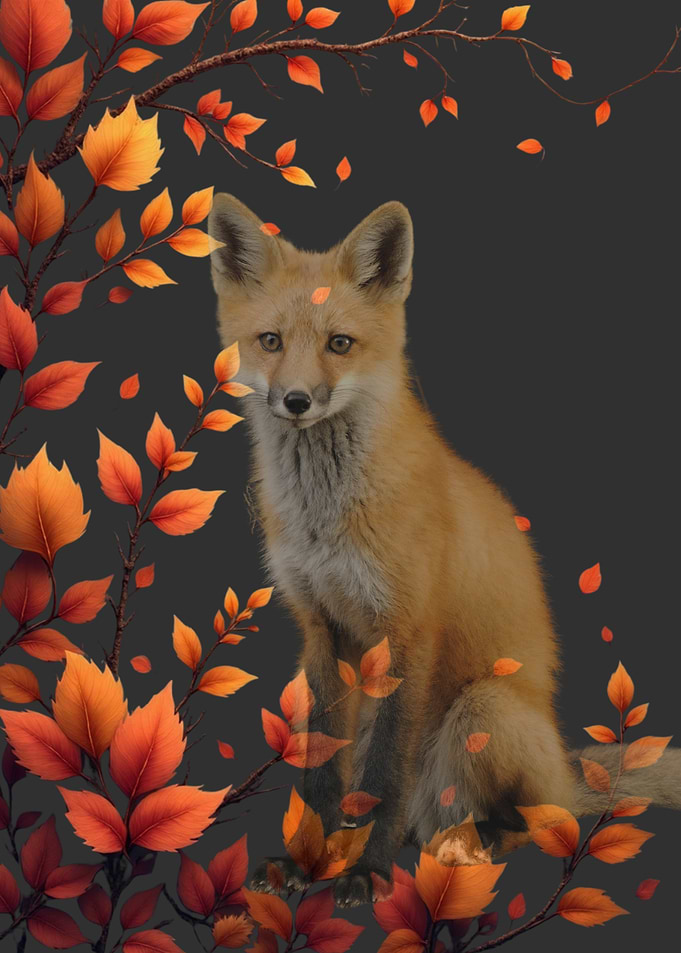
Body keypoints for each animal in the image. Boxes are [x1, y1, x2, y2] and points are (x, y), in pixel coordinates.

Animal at [207, 195, 681, 907]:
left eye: (339, 344)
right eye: (271, 341)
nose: (295, 401)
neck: (329, 520)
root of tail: (567, 767)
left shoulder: (408, 631)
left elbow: (385, 778)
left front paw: (368, 874)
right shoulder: (320, 629)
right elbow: (322, 770)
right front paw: (305, 862)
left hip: (483, 709)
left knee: (534, 822)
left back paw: (466, 843)